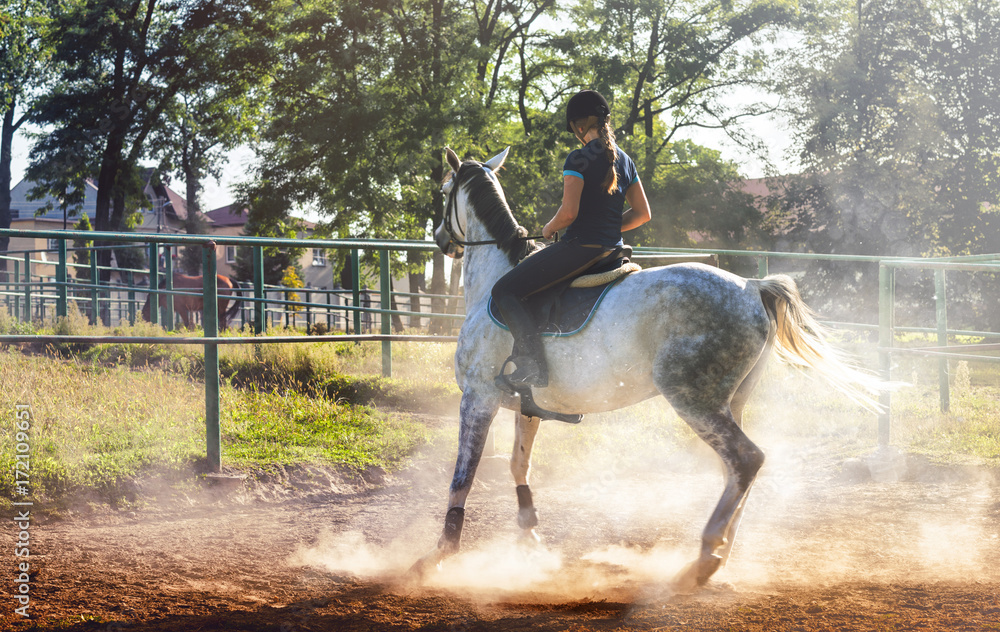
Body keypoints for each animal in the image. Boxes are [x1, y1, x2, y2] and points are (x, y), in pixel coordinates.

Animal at [414, 146, 884, 592]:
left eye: (443, 190)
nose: (440, 240)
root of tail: (752, 286)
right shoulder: (527, 406)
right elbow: (518, 465)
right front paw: (530, 539)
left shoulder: (478, 397)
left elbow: (462, 477)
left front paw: (441, 553)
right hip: (730, 402)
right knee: (737, 470)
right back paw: (720, 554)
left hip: (693, 399)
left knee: (746, 459)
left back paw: (705, 557)